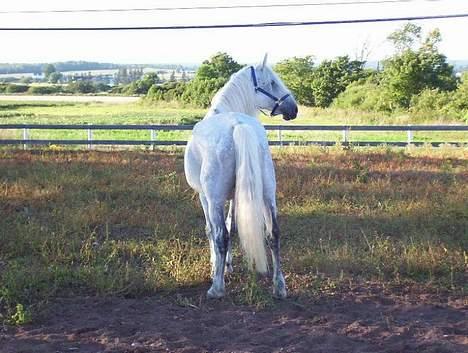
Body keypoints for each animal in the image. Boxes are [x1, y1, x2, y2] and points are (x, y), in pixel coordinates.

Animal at [184, 55, 298, 296]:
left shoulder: (205, 197)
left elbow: (213, 230)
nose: (294, 109)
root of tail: (238, 126)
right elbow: (232, 226)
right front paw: (226, 264)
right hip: (267, 194)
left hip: (216, 199)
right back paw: (279, 286)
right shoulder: (236, 197)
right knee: (274, 233)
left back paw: (216, 288)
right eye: (272, 83)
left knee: (220, 236)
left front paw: (216, 267)